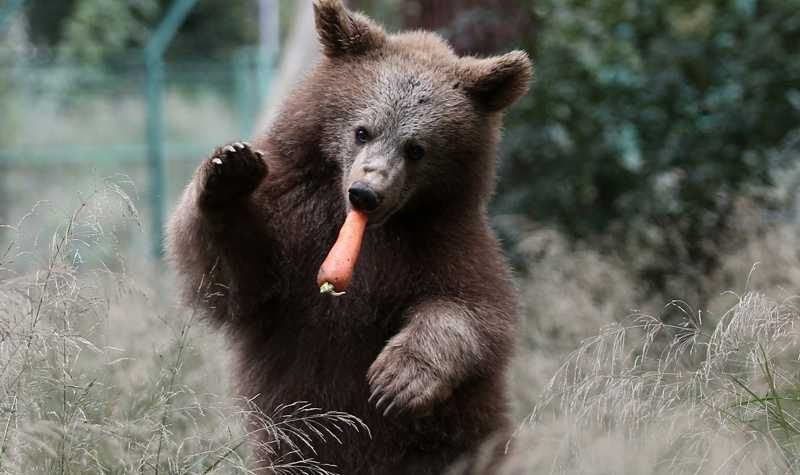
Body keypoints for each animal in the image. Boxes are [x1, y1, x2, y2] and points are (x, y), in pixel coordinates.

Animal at [167, 1, 532, 474]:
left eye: (416, 148)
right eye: (363, 130)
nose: (366, 193)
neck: (366, 232)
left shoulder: (443, 240)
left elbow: (472, 307)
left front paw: (398, 378)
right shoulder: (293, 228)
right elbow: (235, 282)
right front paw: (229, 171)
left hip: (462, 438)